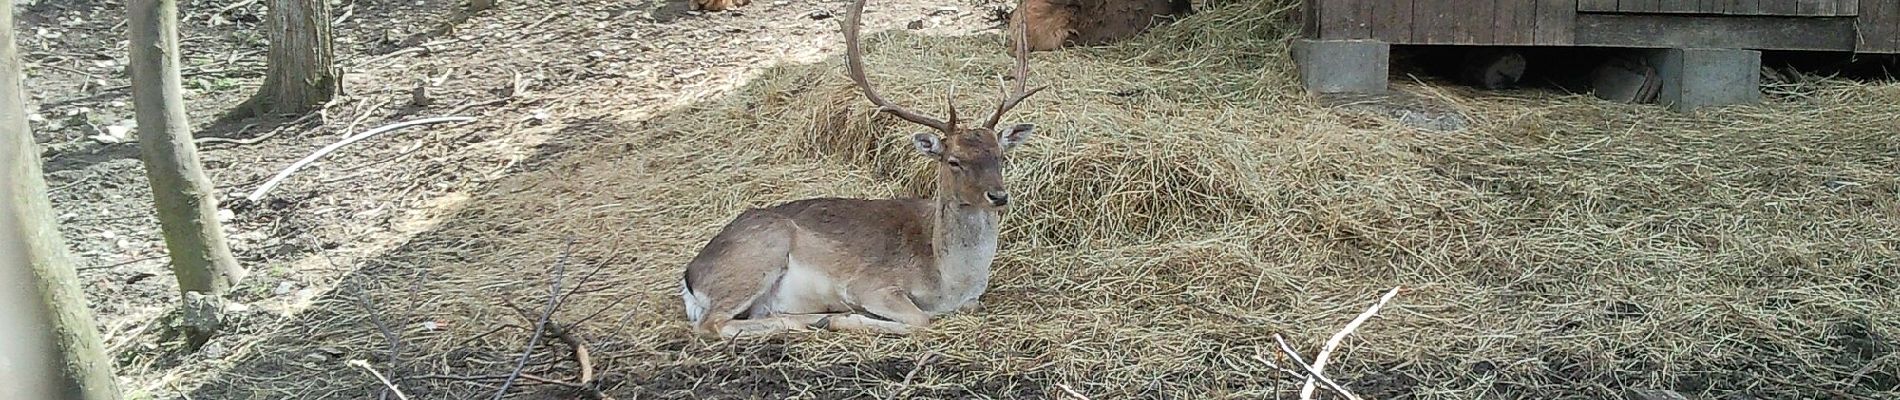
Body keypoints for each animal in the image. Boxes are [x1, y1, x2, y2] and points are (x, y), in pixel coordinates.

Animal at [680, 0, 1048, 339]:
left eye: (1000, 155)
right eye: (953, 160)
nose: (998, 196)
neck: (950, 281)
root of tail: (690, 275)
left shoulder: (970, 299)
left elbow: (966, 308)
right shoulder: (869, 283)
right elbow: (921, 319)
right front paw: (846, 318)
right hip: (759, 255)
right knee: (710, 324)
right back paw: (814, 320)